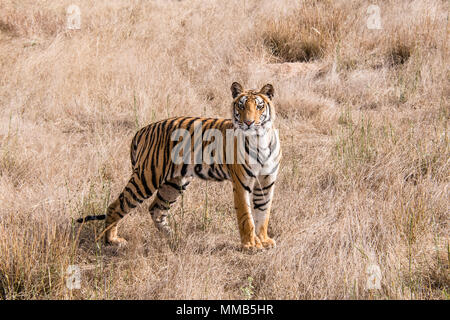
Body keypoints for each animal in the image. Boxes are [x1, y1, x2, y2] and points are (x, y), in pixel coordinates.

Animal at [77, 82, 282, 250]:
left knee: (156, 209)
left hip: (173, 183)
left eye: (259, 106)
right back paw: (112, 240)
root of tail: (142, 130)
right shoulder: (241, 183)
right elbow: (247, 216)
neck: (260, 140)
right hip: (147, 177)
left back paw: (173, 237)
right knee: (116, 205)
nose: (248, 122)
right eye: (241, 105)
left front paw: (264, 240)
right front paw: (250, 245)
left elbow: (263, 213)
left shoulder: (267, 182)